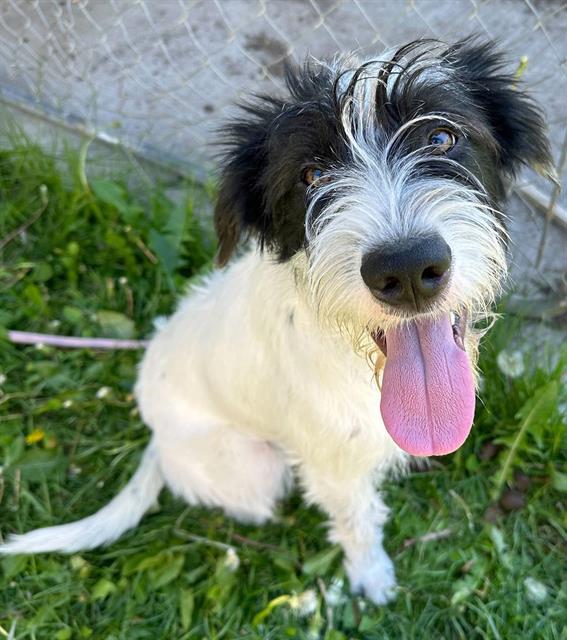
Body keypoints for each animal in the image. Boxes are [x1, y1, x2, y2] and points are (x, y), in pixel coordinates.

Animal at [0, 40, 556, 604]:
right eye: (312, 175)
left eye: (441, 137)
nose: (406, 270)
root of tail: (158, 439)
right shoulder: (333, 465)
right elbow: (356, 519)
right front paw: (371, 574)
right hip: (256, 467)